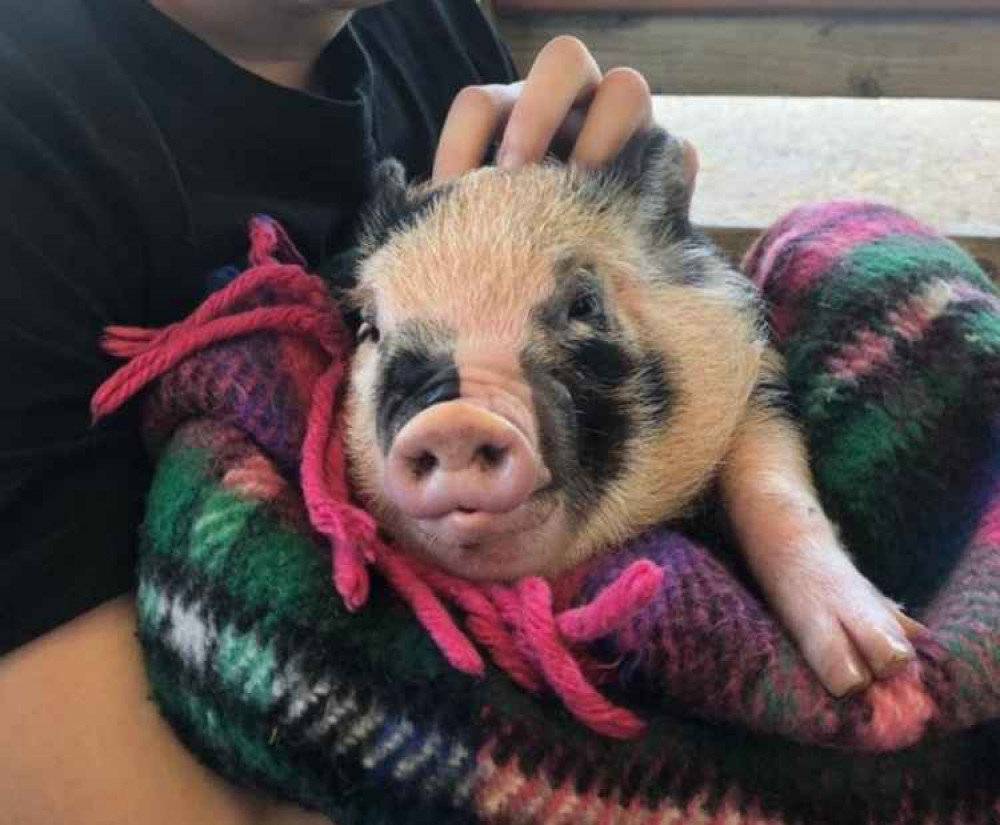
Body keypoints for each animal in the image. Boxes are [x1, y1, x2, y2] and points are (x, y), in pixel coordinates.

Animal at [346, 127, 920, 696]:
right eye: (371, 328)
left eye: (584, 304)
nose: (453, 421)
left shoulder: (756, 373)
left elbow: (775, 493)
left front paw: (880, 665)